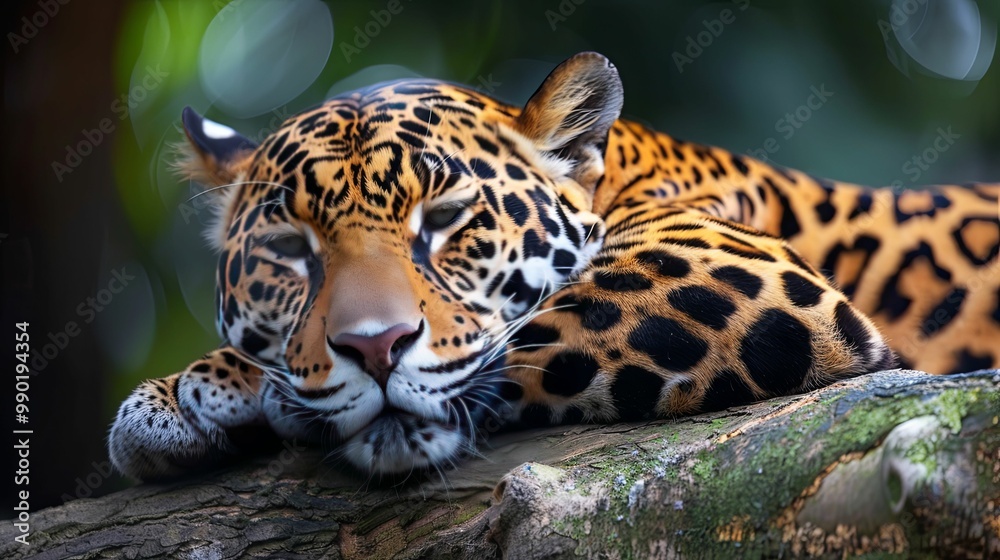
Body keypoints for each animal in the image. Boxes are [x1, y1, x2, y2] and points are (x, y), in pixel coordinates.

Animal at [109, 52, 999, 480]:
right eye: (291, 251)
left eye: (446, 220)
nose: (373, 348)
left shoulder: (727, 272)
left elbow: (509, 345)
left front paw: (212, 388)